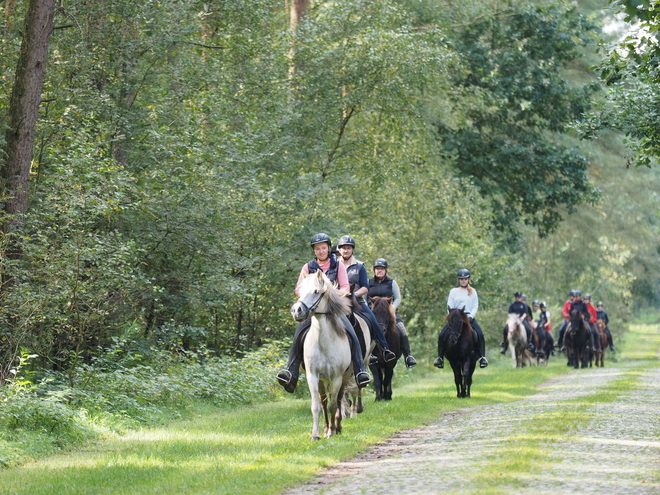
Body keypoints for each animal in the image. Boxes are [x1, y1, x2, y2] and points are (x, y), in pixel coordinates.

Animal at [292, 272, 356, 442]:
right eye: (300, 292)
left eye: (316, 291)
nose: (296, 310)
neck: (324, 343)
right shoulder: (313, 376)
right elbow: (317, 406)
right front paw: (316, 434)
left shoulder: (337, 378)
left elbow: (334, 405)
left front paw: (332, 431)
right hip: (322, 380)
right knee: (323, 401)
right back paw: (327, 427)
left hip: (344, 378)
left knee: (339, 399)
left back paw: (336, 427)